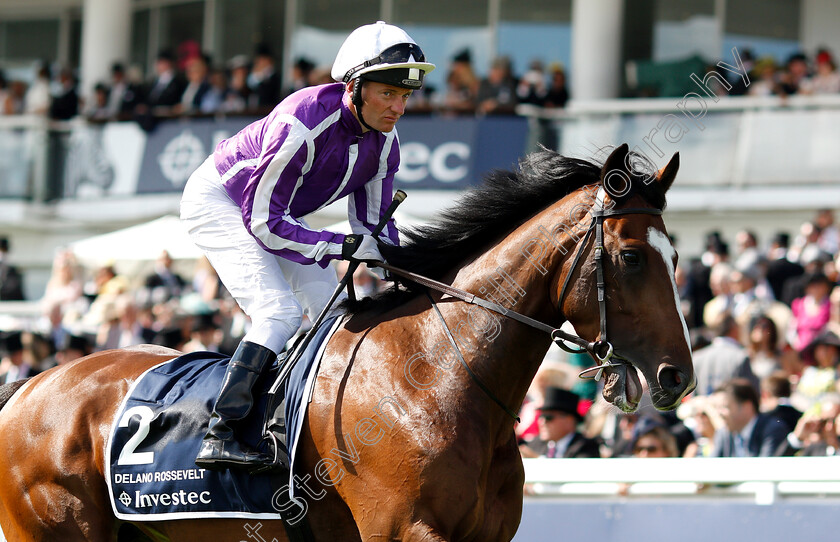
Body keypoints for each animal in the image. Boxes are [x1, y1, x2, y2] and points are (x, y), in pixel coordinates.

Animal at [0, 146, 696, 542]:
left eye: (678, 257)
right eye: (632, 257)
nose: (676, 377)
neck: (436, 375)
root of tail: (30, 386)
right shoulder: (405, 531)